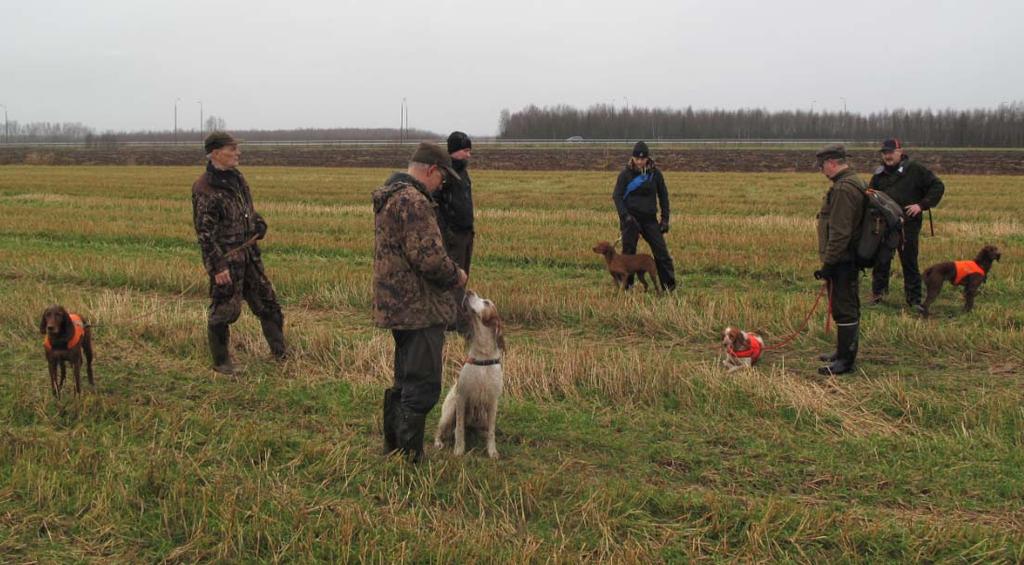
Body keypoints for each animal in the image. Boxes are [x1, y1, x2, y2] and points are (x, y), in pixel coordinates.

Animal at [434, 290, 505, 458]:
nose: (469, 291)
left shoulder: (493, 401)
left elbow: (491, 432)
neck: (483, 355)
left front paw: (492, 451)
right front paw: (459, 450)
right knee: (440, 430)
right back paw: (438, 442)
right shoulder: (462, 398)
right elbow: (459, 429)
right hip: (449, 411)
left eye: (486, 302)